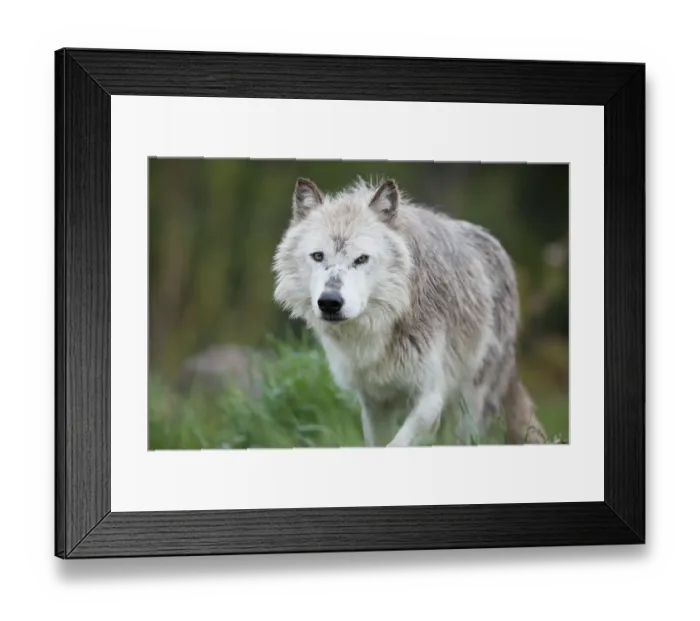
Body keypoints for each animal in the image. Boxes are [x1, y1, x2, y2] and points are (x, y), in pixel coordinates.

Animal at [272, 177, 547, 447]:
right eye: (318, 256)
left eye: (361, 259)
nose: (330, 302)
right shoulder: (373, 402)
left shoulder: (431, 397)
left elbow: (397, 444)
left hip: (468, 405)